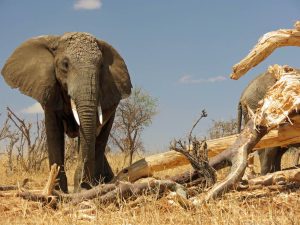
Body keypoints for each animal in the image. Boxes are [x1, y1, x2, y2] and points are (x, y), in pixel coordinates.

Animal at [1, 32, 132, 192]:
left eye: (101, 66)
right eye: (65, 64)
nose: (82, 185)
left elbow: (87, 134)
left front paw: (82, 190)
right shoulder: (49, 90)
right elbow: (54, 132)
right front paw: (58, 190)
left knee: (100, 139)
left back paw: (101, 182)